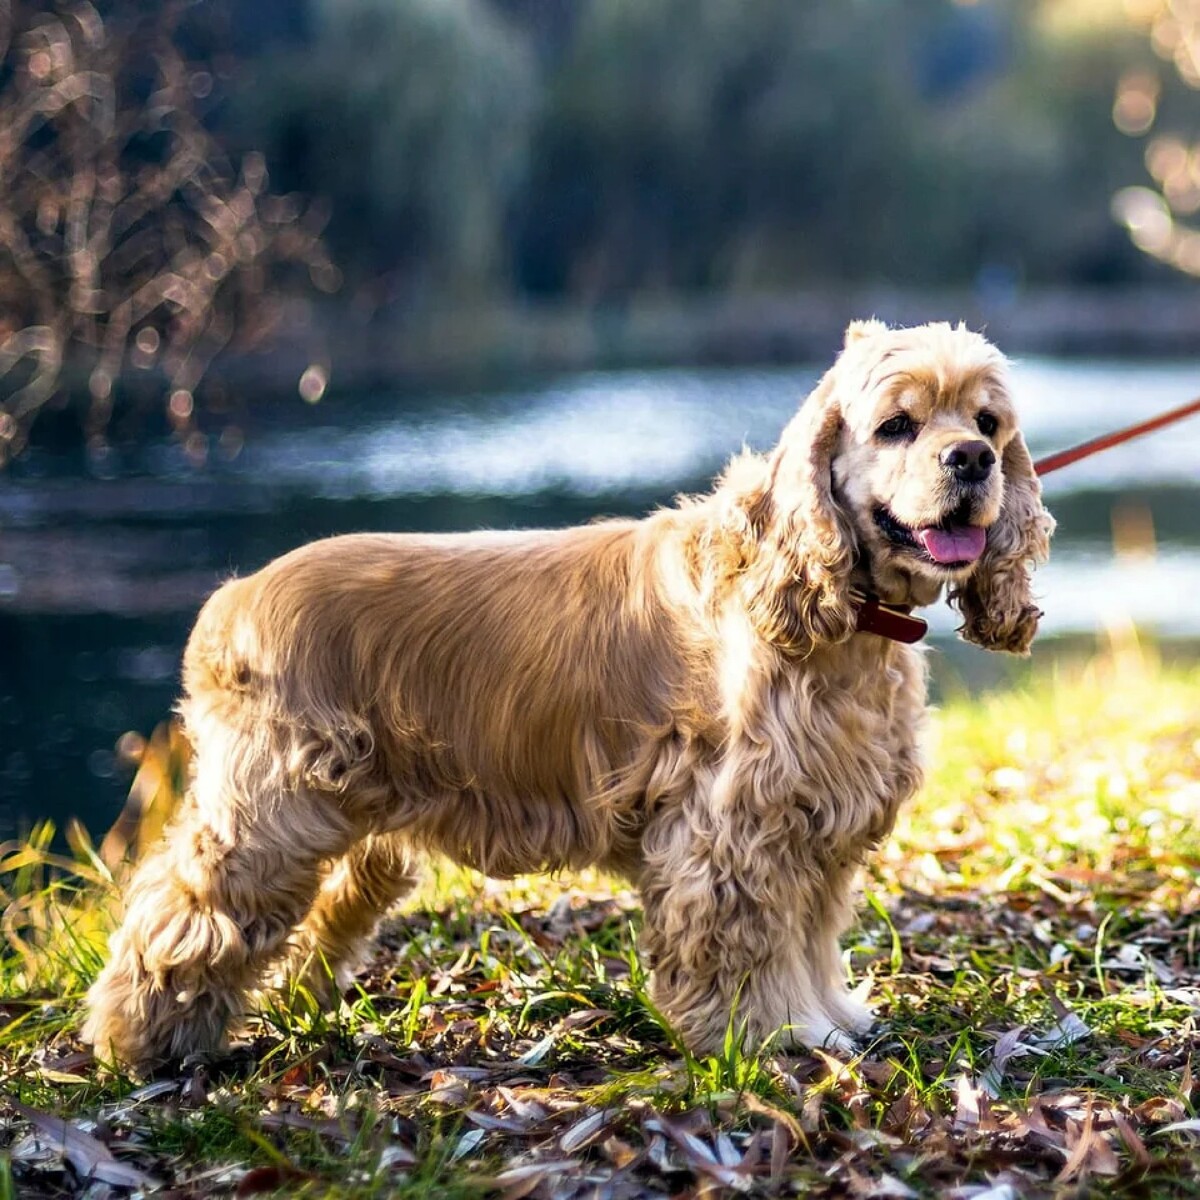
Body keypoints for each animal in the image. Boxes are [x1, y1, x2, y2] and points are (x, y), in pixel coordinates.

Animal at [82, 321, 1051, 1070]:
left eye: (987, 421)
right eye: (897, 425)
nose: (972, 459)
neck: (841, 616)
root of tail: (230, 602)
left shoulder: (821, 827)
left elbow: (810, 938)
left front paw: (829, 1019)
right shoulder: (732, 832)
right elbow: (744, 949)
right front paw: (768, 1038)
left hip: (356, 833)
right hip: (269, 815)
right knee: (181, 916)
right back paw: (138, 1046)